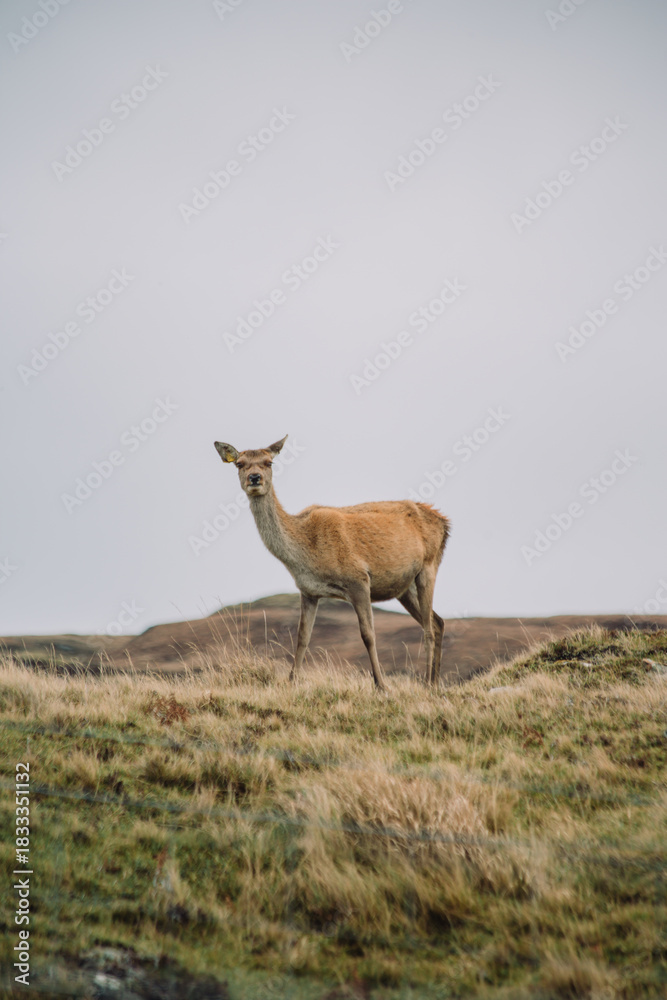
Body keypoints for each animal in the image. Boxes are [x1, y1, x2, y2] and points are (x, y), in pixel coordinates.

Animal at [214, 435, 451, 691]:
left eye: (269, 462)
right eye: (239, 463)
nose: (255, 478)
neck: (305, 553)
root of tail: (444, 522)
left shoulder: (359, 579)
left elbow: (368, 635)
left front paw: (381, 685)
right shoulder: (308, 591)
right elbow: (302, 637)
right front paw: (291, 681)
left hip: (429, 565)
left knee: (428, 628)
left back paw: (428, 684)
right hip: (403, 587)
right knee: (437, 621)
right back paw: (435, 682)